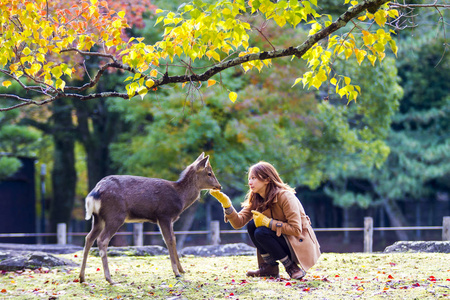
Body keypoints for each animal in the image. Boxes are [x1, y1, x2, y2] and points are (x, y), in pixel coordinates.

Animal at [80, 152, 223, 284]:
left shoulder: (169, 219)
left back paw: (82, 277)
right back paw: (109, 279)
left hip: (98, 218)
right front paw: (176, 272)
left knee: (89, 238)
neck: (180, 198)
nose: (219, 186)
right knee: (102, 239)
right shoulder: (164, 215)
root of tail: (95, 192)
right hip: (115, 215)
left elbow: (174, 239)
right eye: (209, 173)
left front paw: (182, 270)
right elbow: (169, 240)